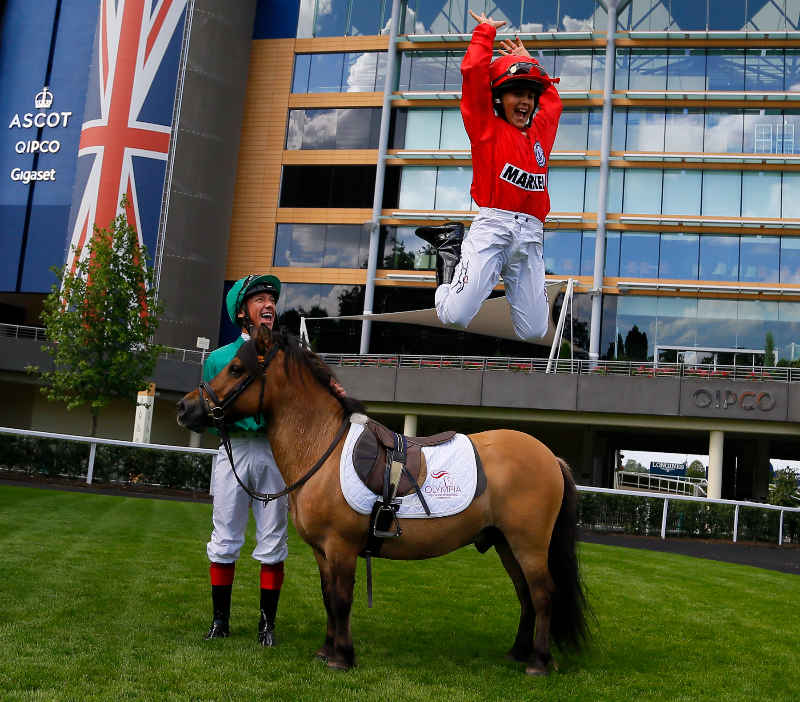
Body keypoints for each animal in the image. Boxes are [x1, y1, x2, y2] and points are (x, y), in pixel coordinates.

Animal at [176, 324, 590, 675]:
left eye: (234, 369)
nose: (185, 407)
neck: (321, 448)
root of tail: (550, 457)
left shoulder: (341, 546)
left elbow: (342, 599)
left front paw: (342, 657)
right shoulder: (322, 551)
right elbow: (328, 597)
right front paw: (326, 650)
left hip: (528, 544)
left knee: (542, 594)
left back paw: (538, 662)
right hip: (506, 543)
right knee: (525, 595)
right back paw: (518, 652)